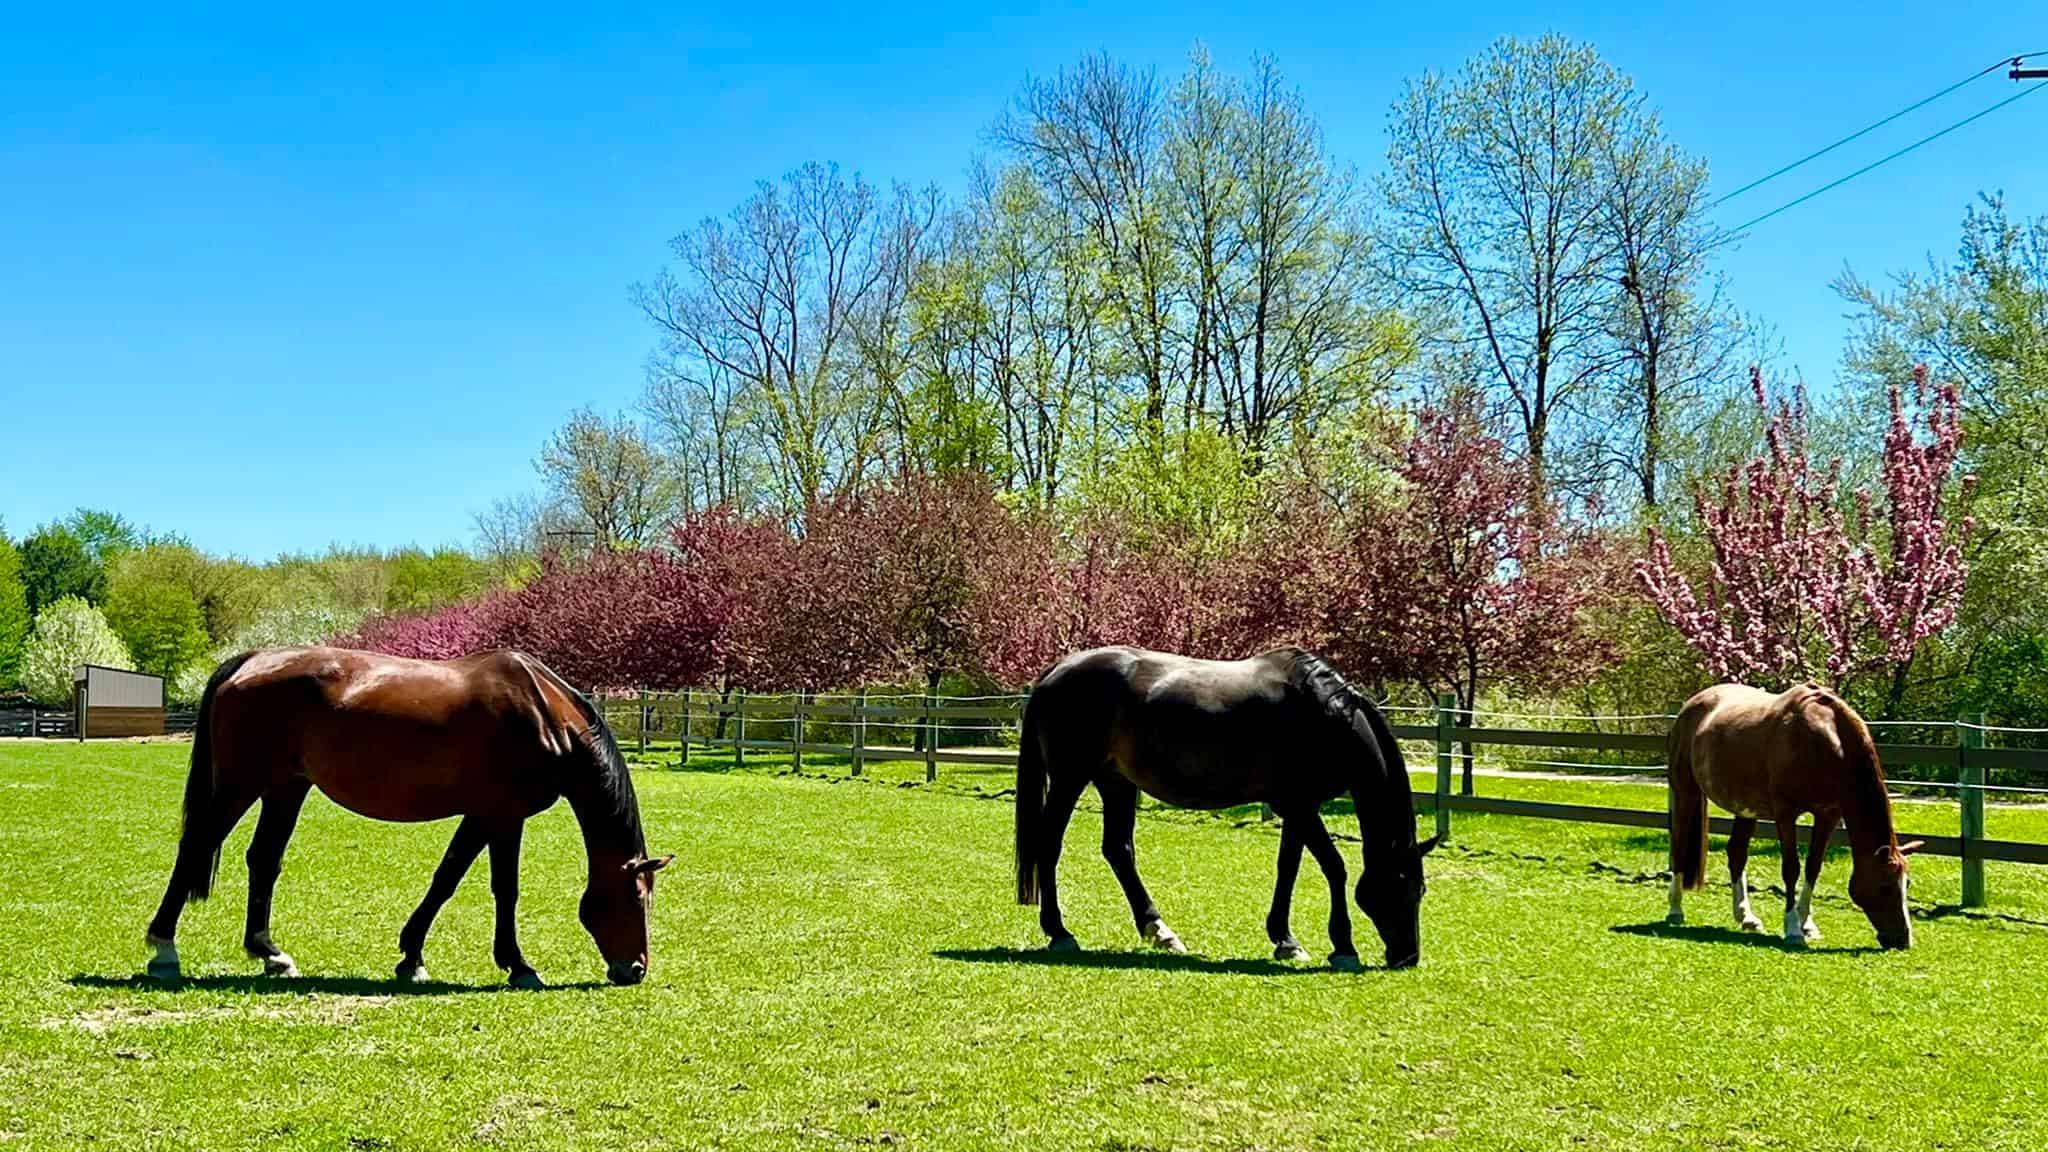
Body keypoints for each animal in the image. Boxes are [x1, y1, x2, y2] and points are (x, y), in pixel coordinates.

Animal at [144, 647, 673, 988]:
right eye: (635, 897)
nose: (635, 970)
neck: (546, 715)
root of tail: (250, 662)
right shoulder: (500, 814)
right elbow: (487, 886)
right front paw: (516, 965)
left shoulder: (488, 815)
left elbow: (461, 879)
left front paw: (416, 956)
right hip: (241, 785)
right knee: (196, 847)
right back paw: (164, 948)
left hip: (286, 788)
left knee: (263, 860)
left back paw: (269, 953)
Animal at [1014, 646, 1438, 970]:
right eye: (1403, 885)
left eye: (1421, 890)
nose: (1408, 957)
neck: (1320, 715)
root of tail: (1058, 670)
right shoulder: (1297, 806)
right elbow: (1334, 867)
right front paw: (1343, 947)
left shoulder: (1298, 806)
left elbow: (1288, 867)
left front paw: (1286, 940)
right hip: (1070, 779)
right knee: (1048, 846)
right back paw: (1059, 933)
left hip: (1115, 783)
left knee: (1118, 850)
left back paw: (1160, 930)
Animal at [1665, 683, 1920, 949]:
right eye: (1885, 887)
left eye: (1907, 884)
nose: (1903, 939)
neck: (1823, 740)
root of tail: (1691, 705)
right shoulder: (1786, 815)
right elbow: (1791, 869)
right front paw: (1793, 929)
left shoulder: (1828, 816)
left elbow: (1813, 868)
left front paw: (1807, 924)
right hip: (1686, 792)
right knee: (1680, 848)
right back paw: (1675, 910)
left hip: (1744, 809)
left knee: (1736, 854)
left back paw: (1746, 916)